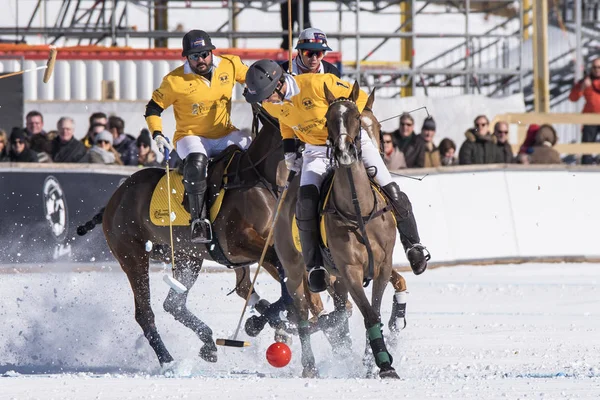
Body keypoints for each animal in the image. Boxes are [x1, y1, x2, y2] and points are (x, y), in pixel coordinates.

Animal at [276, 81, 398, 378]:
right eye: (328, 119)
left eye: (356, 118)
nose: (344, 152)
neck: (359, 208)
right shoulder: (350, 270)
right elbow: (369, 314)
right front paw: (383, 363)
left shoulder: (383, 266)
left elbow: (375, 312)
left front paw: (371, 363)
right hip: (296, 272)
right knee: (302, 314)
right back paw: (310, 366)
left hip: (335, 279)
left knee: (340, 313)